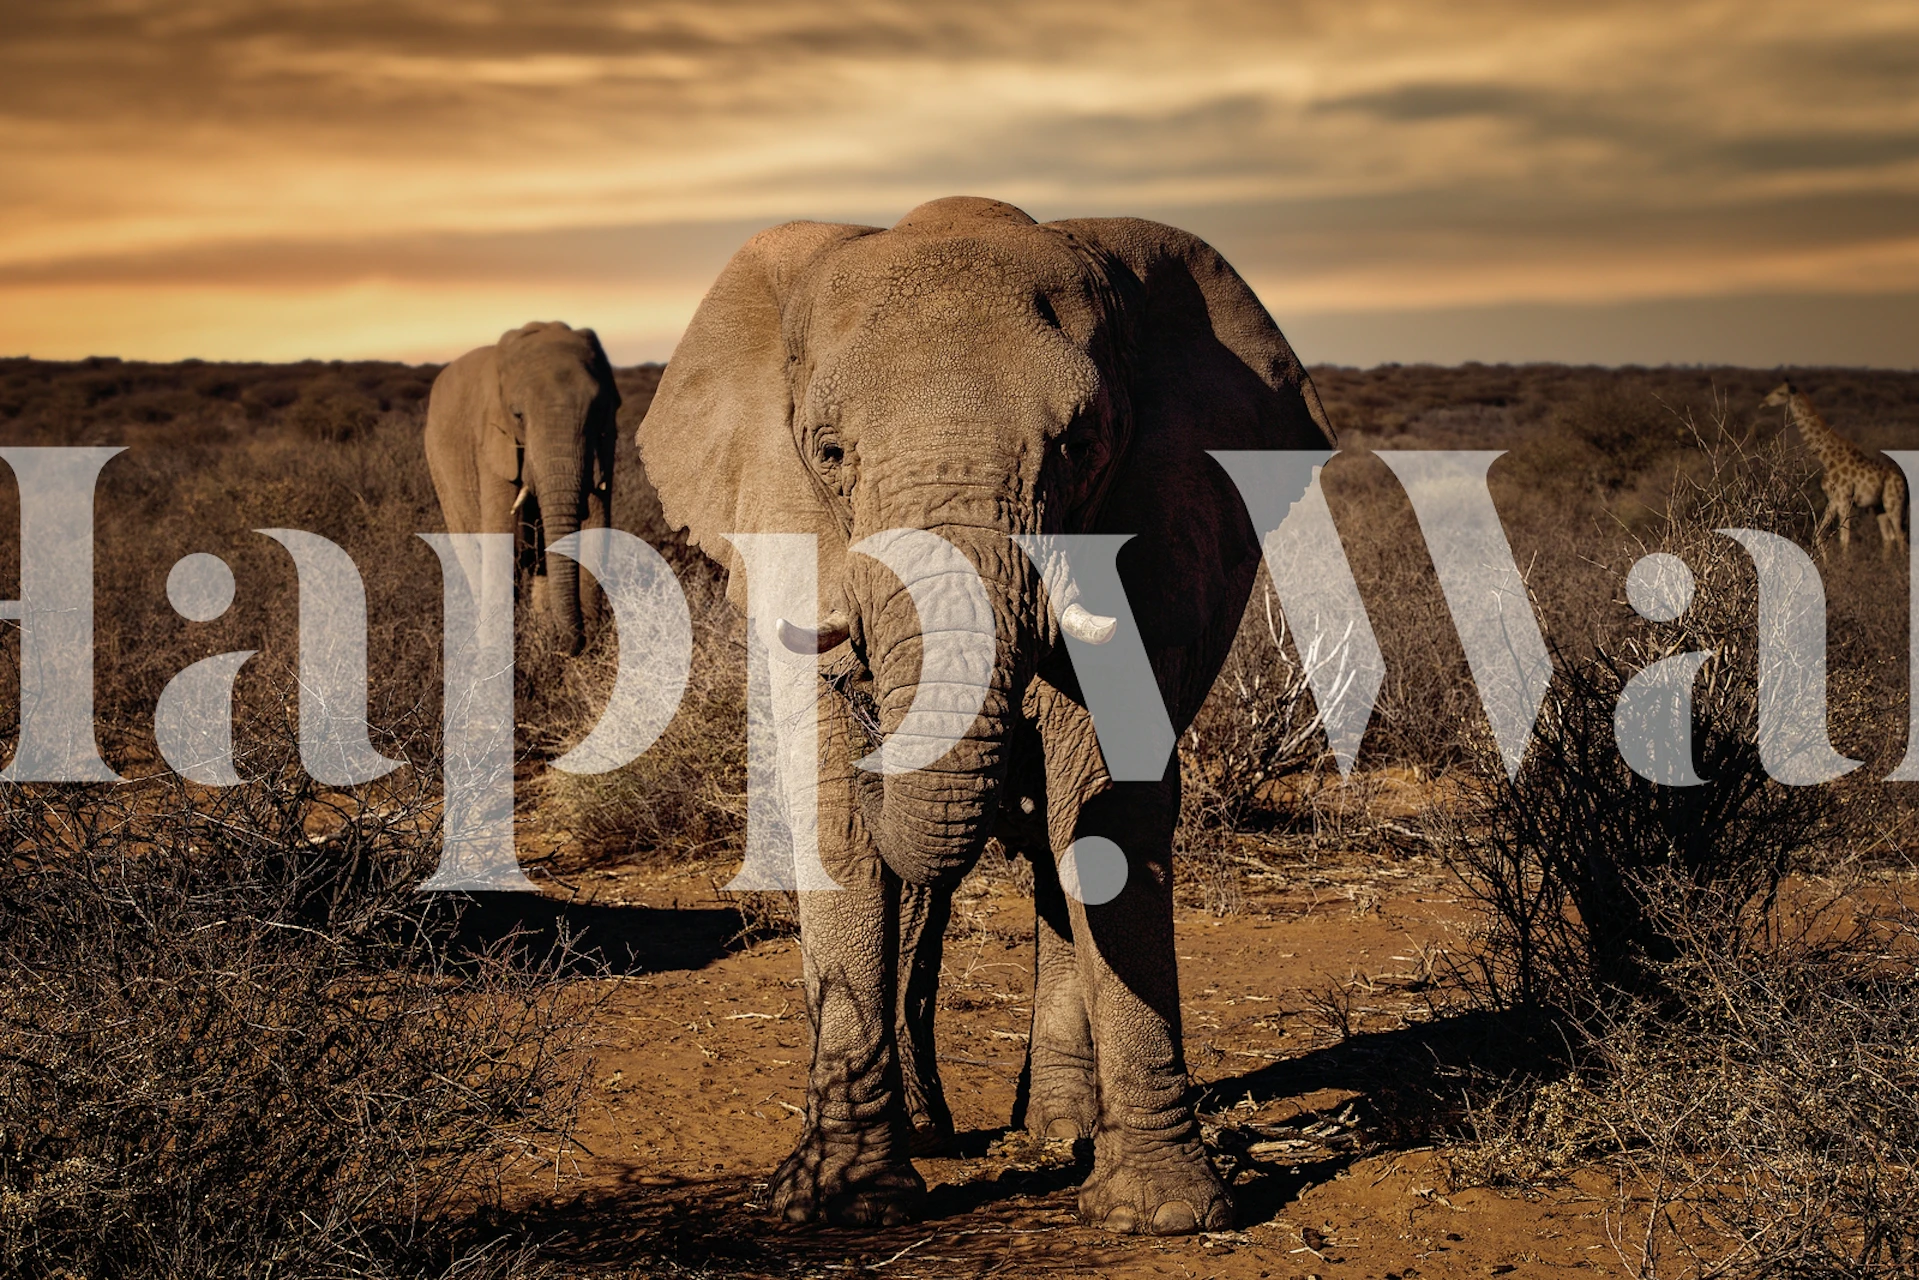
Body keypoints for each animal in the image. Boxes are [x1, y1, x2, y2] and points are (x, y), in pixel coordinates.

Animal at [424, 320, 621, 654]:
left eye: (597, 412)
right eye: (518, 416)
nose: (572, 645)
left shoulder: (605, 444)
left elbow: (595, 528)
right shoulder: (493, 446)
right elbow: (506, 542)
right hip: (439, 468)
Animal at [638, 196, 1334, 1234]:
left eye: (1080, 443)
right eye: (829, 451)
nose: (868, 707)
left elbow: (1107, 803)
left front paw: (1164, 1216)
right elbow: (834, 819)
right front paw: (840, 1205)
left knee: (1055, 852)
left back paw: (1060, 1131)